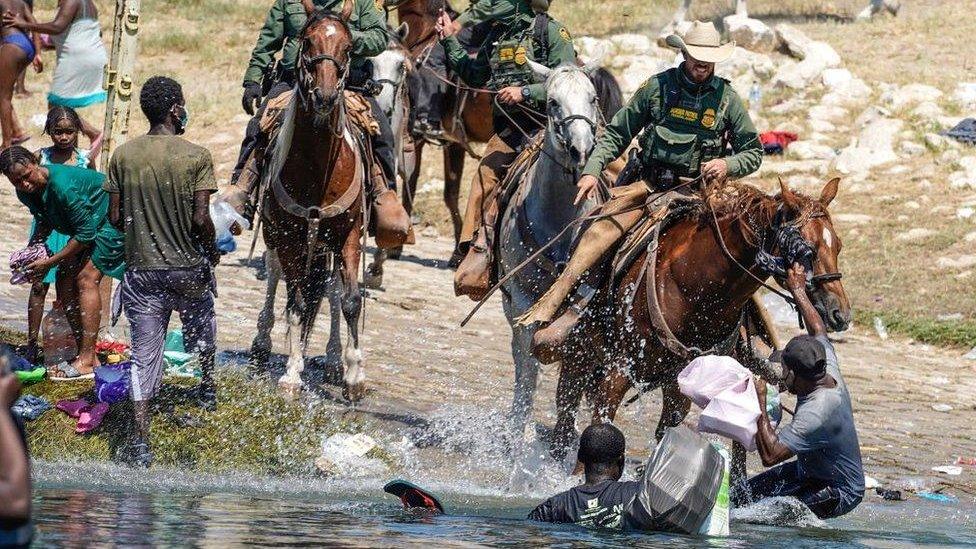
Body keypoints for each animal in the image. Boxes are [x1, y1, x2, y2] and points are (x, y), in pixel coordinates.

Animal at [252, 2, 370, 400]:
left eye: (348, 47)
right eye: (307, 42)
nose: (325, 97)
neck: (319, 171)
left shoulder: (350, 235)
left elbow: (350, 301)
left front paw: (354, 375)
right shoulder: (289, 238)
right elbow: (297, 304)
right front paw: (292, 373)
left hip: (326, 244)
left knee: (330, 290)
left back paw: (333, 359)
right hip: (278, 237)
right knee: (275, 276)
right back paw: (262, 345)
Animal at [504, 64, 604, 438]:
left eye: (593, 98)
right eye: (552, 102)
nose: (581, 150)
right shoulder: (522, 300)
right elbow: (529, 363)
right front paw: (520, 429)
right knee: (521, 358)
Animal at [552, 179, 852, 458]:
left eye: (838, 246)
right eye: (808, 250)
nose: (841, 314)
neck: (695, 287)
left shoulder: (677, 384)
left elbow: (666, 435)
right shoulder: (619, 370)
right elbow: (600, 427)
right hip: (578, 350)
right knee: (565, 413)